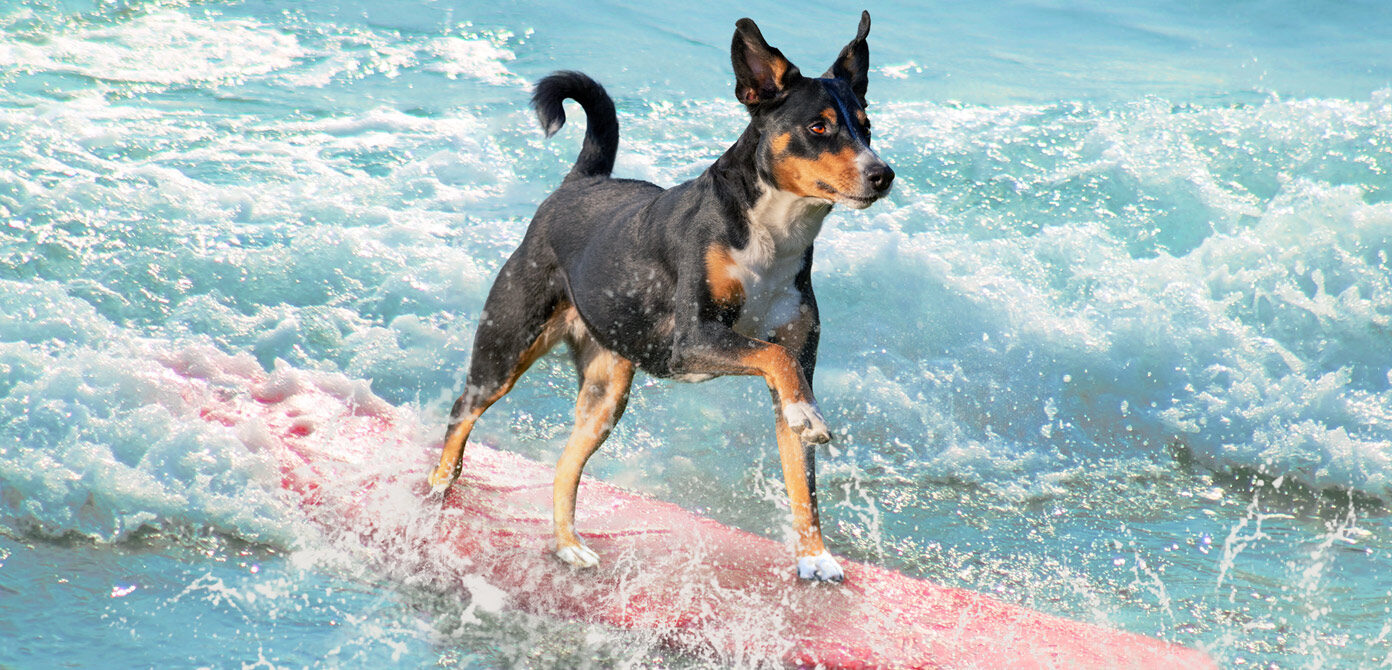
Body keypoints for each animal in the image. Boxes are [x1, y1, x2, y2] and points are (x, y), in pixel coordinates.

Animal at [428, 13, 896, 582]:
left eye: (866, 126)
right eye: (819, 127)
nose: (883, 174)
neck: (773, 234)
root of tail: (580, 182)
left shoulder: (794, 363)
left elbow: (801, 478)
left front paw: (814, 556)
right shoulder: (693, 340)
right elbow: (773, 357)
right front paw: (810, 420)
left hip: (605, 396)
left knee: (566, 466)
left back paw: (567, 544)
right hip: (505, 347)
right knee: (462, 412)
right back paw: (438, 485)